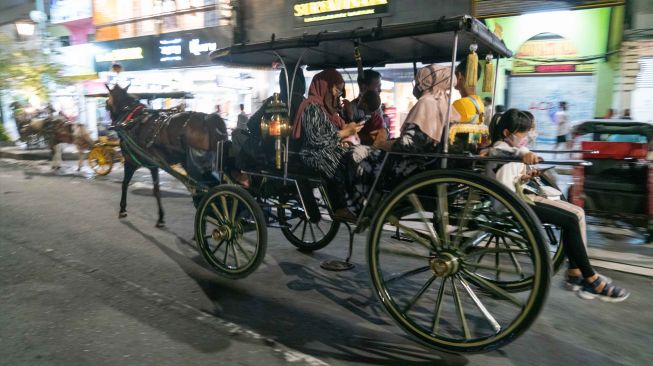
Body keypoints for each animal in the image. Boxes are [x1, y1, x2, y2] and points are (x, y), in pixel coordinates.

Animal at [105, 84, 228, 227]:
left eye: (108, 99)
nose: (105, 105)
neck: (130, 119)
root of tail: (208, 119)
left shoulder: (130, 161)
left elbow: (125, 184)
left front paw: (123, 209)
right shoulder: (153, 164)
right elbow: (156, 189)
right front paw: (161, 217)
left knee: (205, 190)